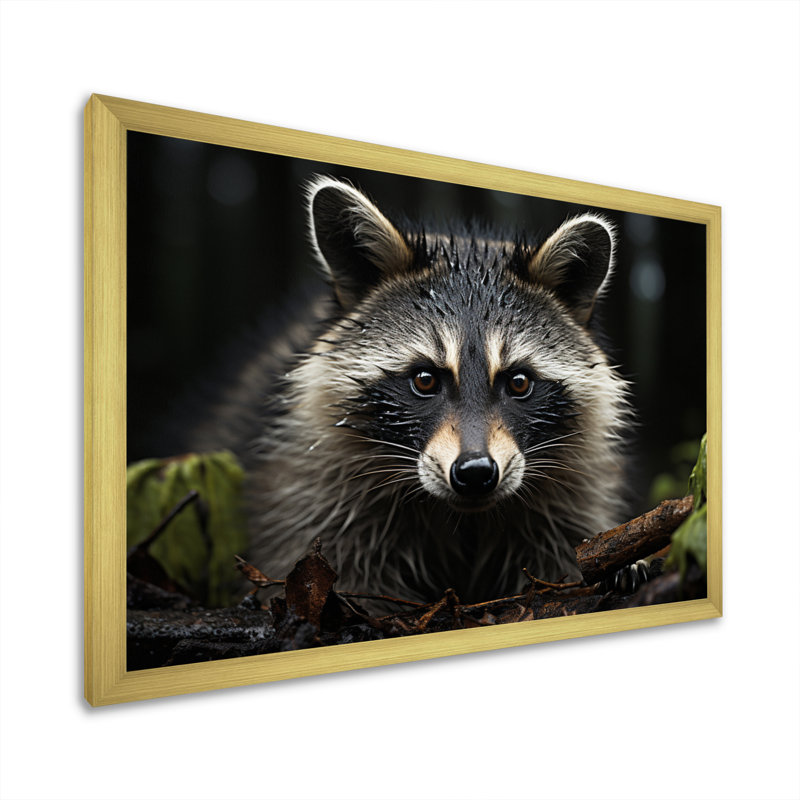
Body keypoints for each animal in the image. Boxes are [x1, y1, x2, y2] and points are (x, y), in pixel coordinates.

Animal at [192, 177, 631, 604]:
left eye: (519, 382)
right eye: (425, 380)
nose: (475, 473)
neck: (462, 517)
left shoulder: (571, 489)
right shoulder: (309, 488)